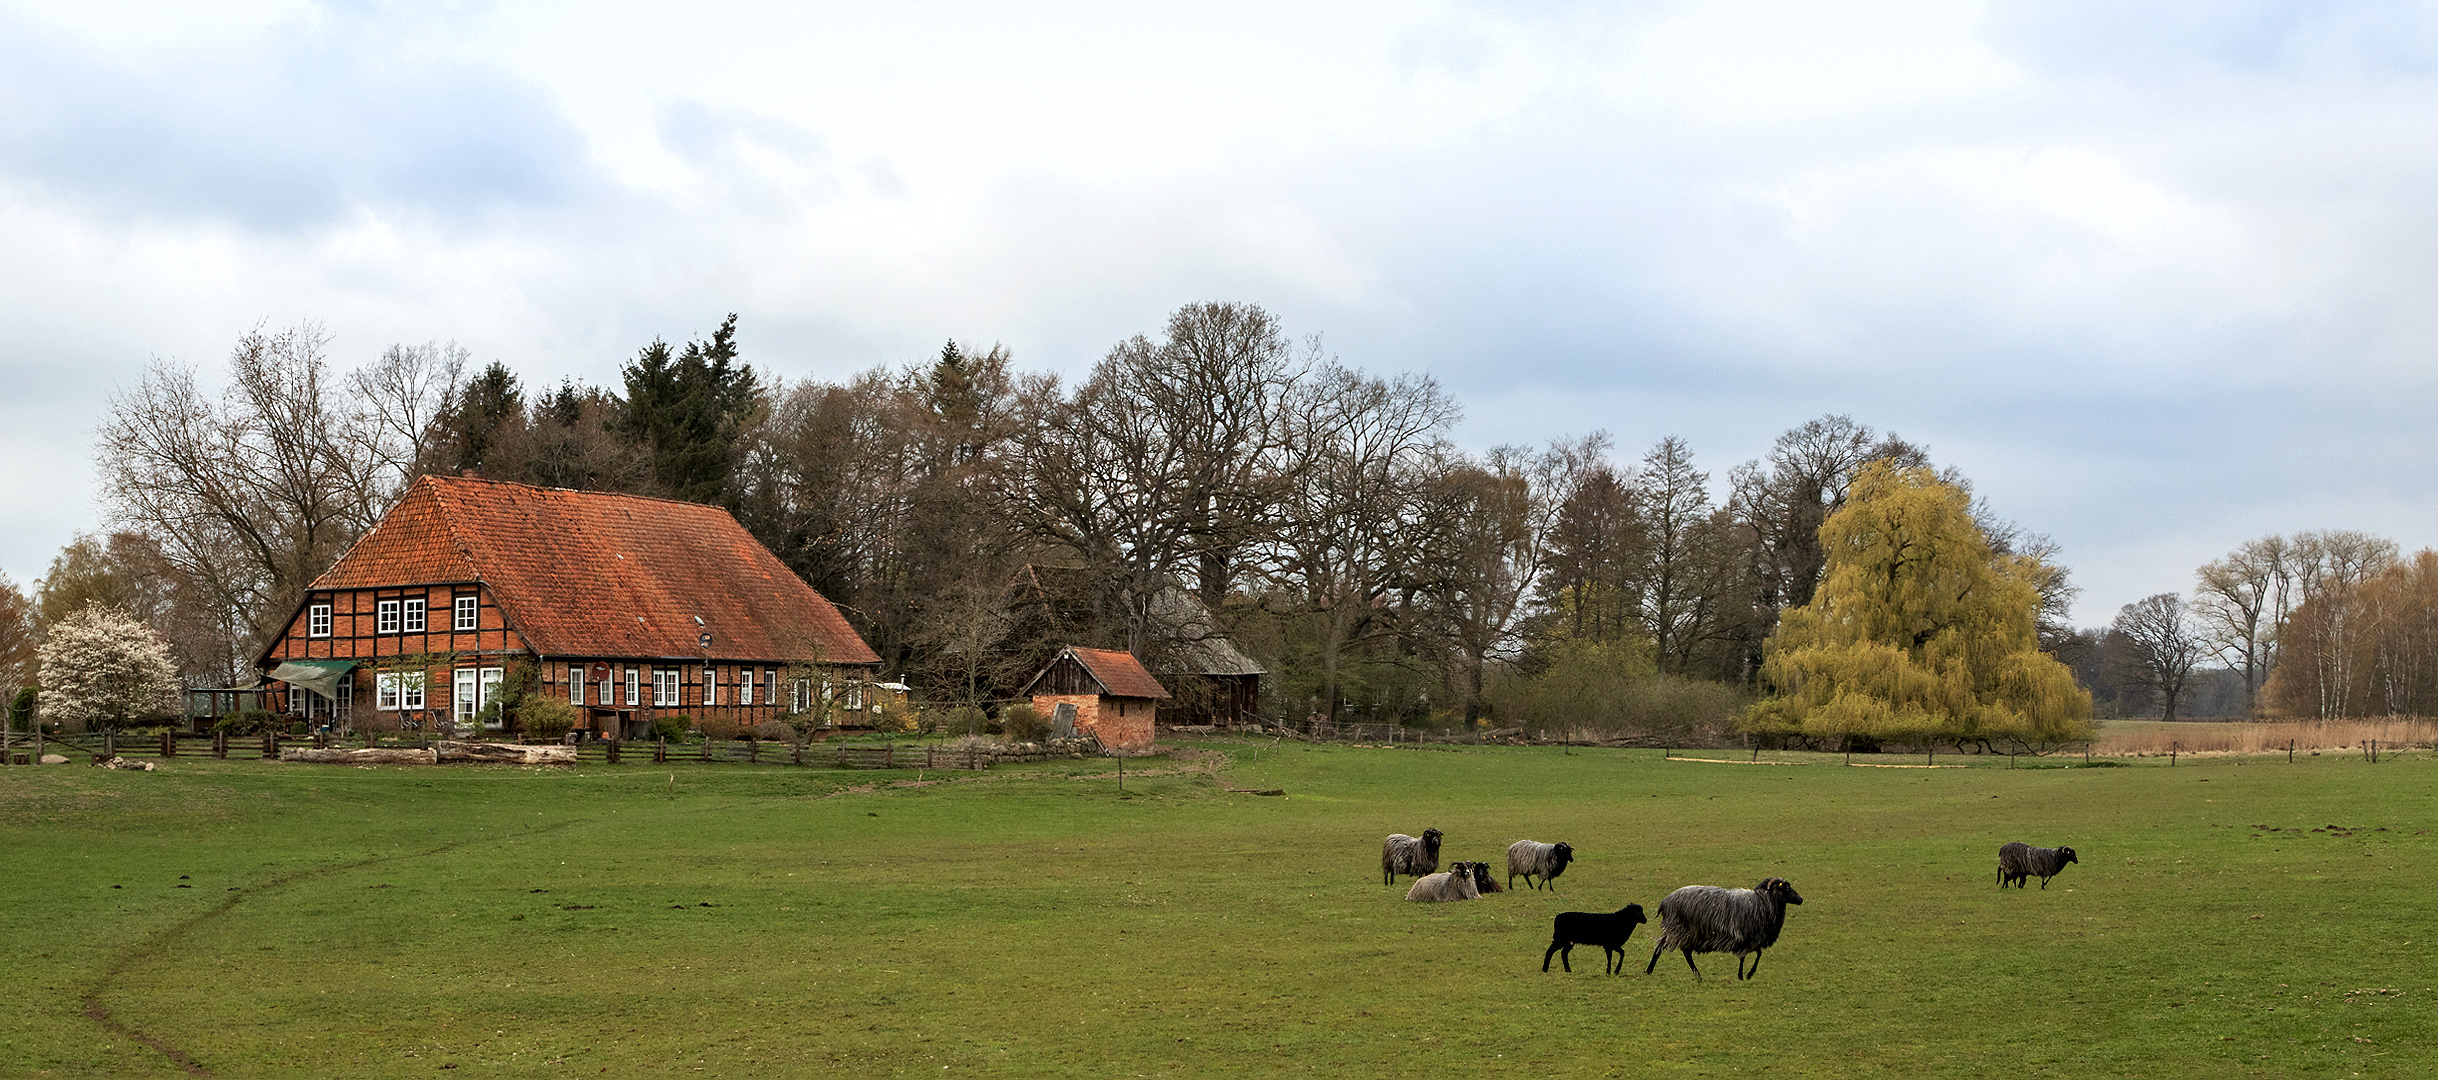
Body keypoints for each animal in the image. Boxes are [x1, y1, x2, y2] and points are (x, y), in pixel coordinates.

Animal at [1648, 877, 1804, 980]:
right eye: (1786, 888)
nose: (1801, 899)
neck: (1763, 902)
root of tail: (1664, 902)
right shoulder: (1746, 936)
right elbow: (1745, 956)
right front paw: (1743, 975)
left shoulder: (1753, 938)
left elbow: (1758, 953)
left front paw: (1748, 974)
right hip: (1678, 929)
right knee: (1661, 946)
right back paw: (1650, 970)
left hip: (1689, 933)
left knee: (1685, 952)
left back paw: (1698, 975)